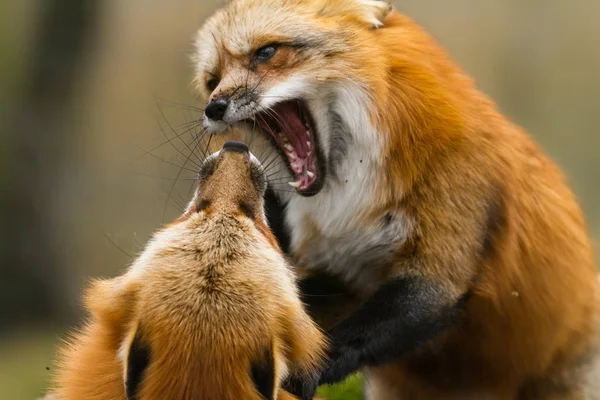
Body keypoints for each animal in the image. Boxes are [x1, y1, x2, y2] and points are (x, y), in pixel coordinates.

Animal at [193, 1, 600, 398]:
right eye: (212, 81)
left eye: (266, 52)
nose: (214, 108)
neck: (351, 200)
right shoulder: (334, 275)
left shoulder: (443, 253)